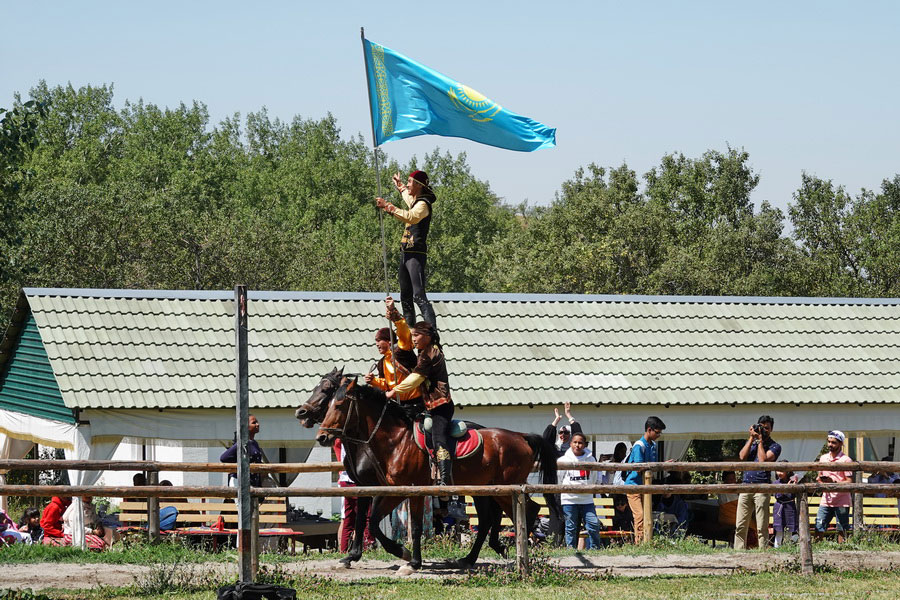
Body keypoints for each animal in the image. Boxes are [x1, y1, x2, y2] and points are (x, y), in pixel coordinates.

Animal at [316, 376, 556, 568]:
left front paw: (411, 560)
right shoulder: (386, 490)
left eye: (339, 404)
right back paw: (471, 558)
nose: (322, 437)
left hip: (507, 489)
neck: (397, 440)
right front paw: (399, 554)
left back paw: (521, 556)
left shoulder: (407, 491)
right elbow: (372, 522)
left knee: (527, 512)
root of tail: (521, 436)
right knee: (490, 519)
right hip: (485, 490)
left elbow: (412, 527)